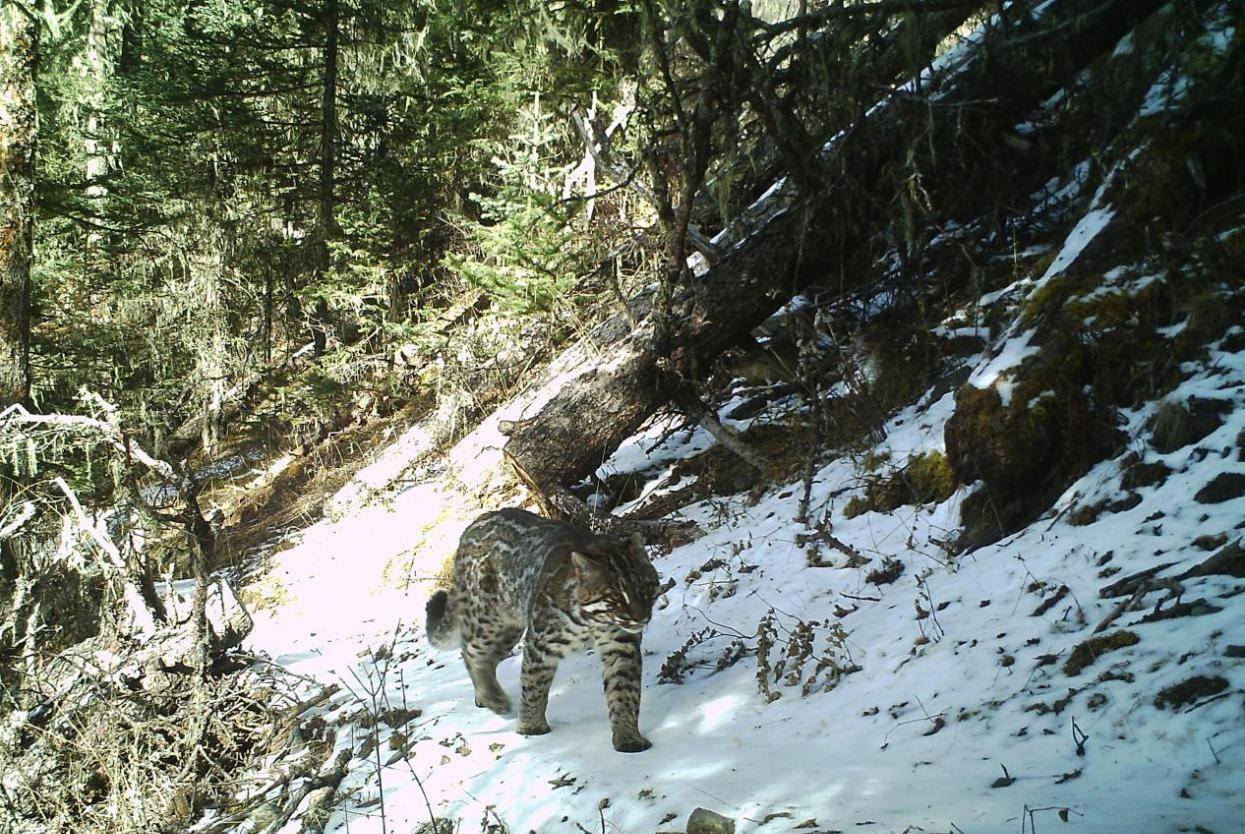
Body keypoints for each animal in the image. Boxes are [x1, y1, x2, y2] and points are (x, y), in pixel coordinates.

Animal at [425, 510, 662, 756]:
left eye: (646, 588)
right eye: (615, 597)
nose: (641, 618)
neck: (592, 621)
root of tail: (470, 527)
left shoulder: (621, 645)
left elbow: (624, 691)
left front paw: (627, 735)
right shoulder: (541, 643)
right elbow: (533, 686)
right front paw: (531, 725)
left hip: (509, 628)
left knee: (483, 657)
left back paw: (484, 697)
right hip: (489, 621)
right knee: (470, 651)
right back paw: (493, 698)